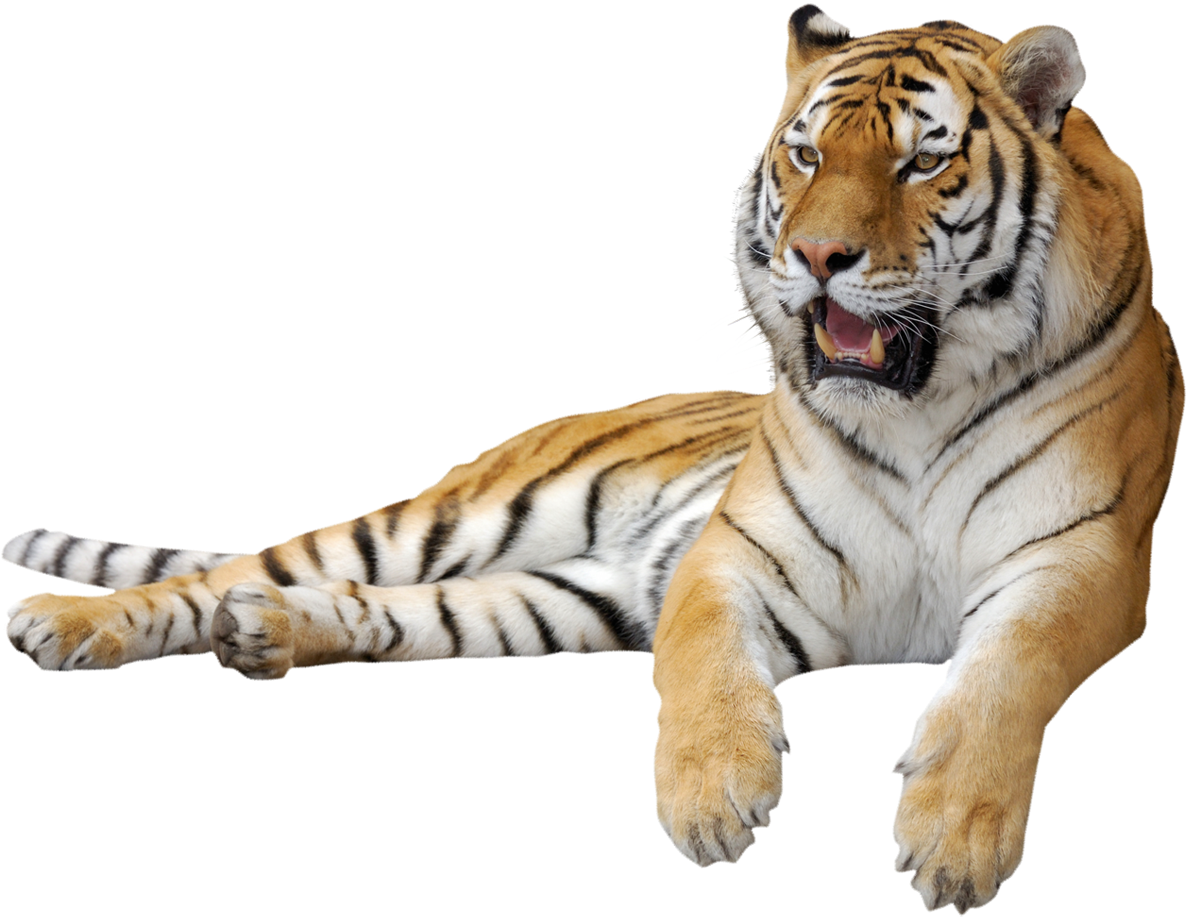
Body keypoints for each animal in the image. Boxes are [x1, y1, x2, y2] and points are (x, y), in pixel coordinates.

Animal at [4, 5, 1181, 912]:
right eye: (806, 154)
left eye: (922, 159)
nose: (813, 256)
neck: (918, 409)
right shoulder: (731, 553)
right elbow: (703, 665)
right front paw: (712, 794)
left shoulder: (1082, 559)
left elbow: (1002, 674)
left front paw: (953, 836)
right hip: (451, 518)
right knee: (234, 571)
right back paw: (65, 623)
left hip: (562, 594)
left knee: (377, 610)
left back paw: (267, 636)